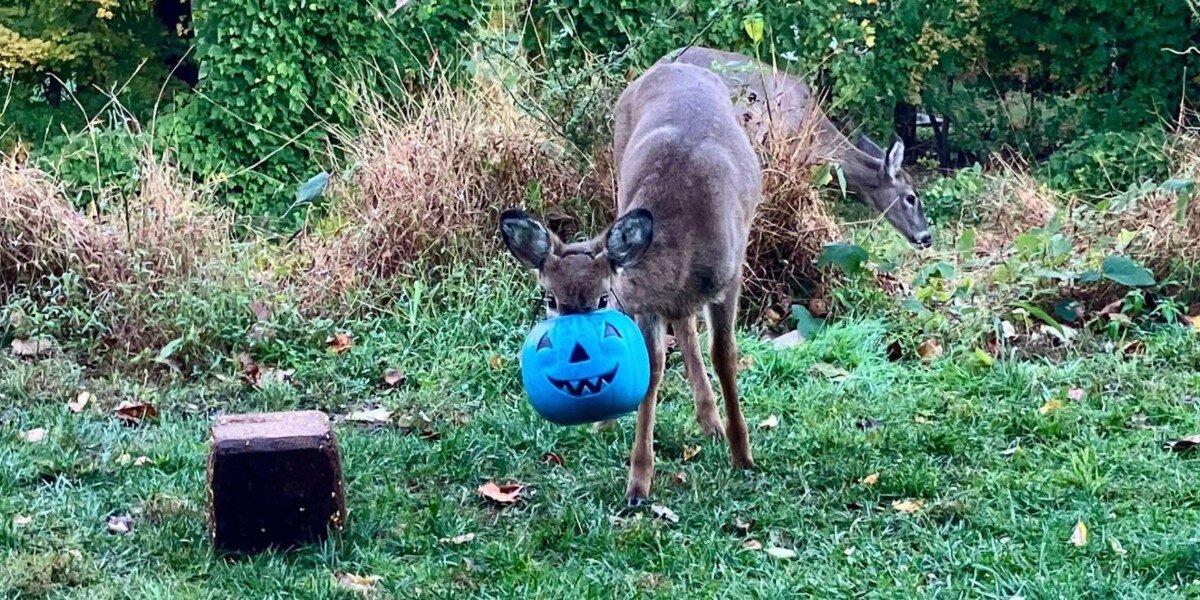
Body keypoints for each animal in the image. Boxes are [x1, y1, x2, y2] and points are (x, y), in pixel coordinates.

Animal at [500, 62, 760, 505]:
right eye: (549, 298)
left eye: (603, 297)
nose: (571, 344)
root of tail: (672, 64)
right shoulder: (645, 305)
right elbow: (651, 368)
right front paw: (638, 483)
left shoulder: (731, 275)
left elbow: (725, 356)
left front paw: (742, 454)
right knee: (683, 324)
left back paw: (713, 426)